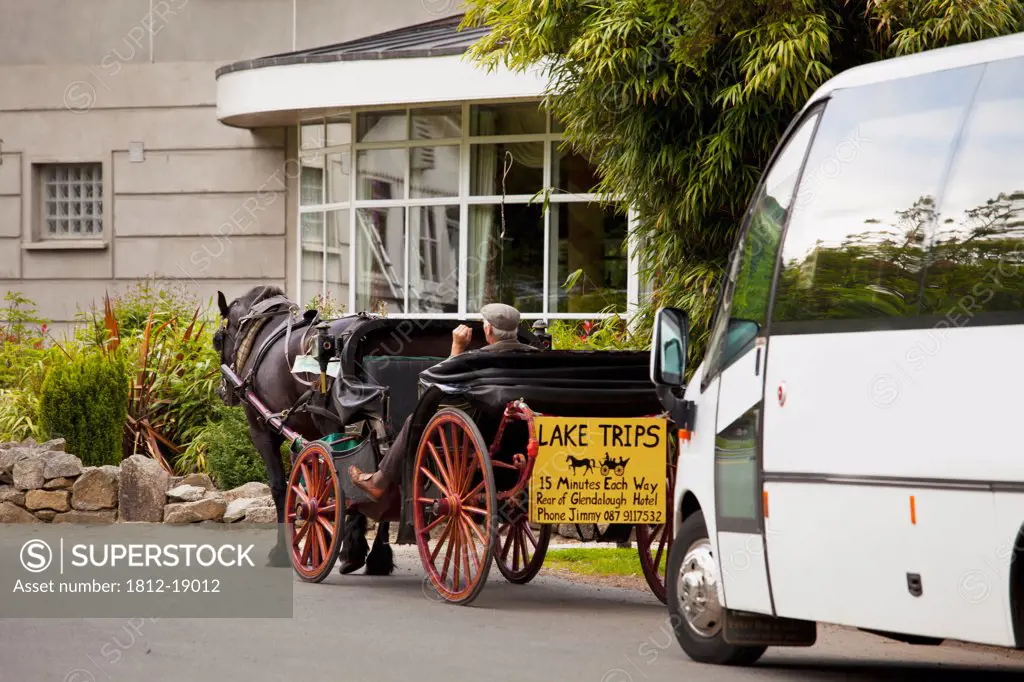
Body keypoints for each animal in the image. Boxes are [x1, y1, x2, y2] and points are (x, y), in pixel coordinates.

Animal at [214, 284, 389, 569]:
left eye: (217, 340)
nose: (223, 391)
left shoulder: (262, 432)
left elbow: (281, 487)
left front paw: (285, 551)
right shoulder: (306, 436)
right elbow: (310, 482)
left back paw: (354, 551)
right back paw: (375, 556)